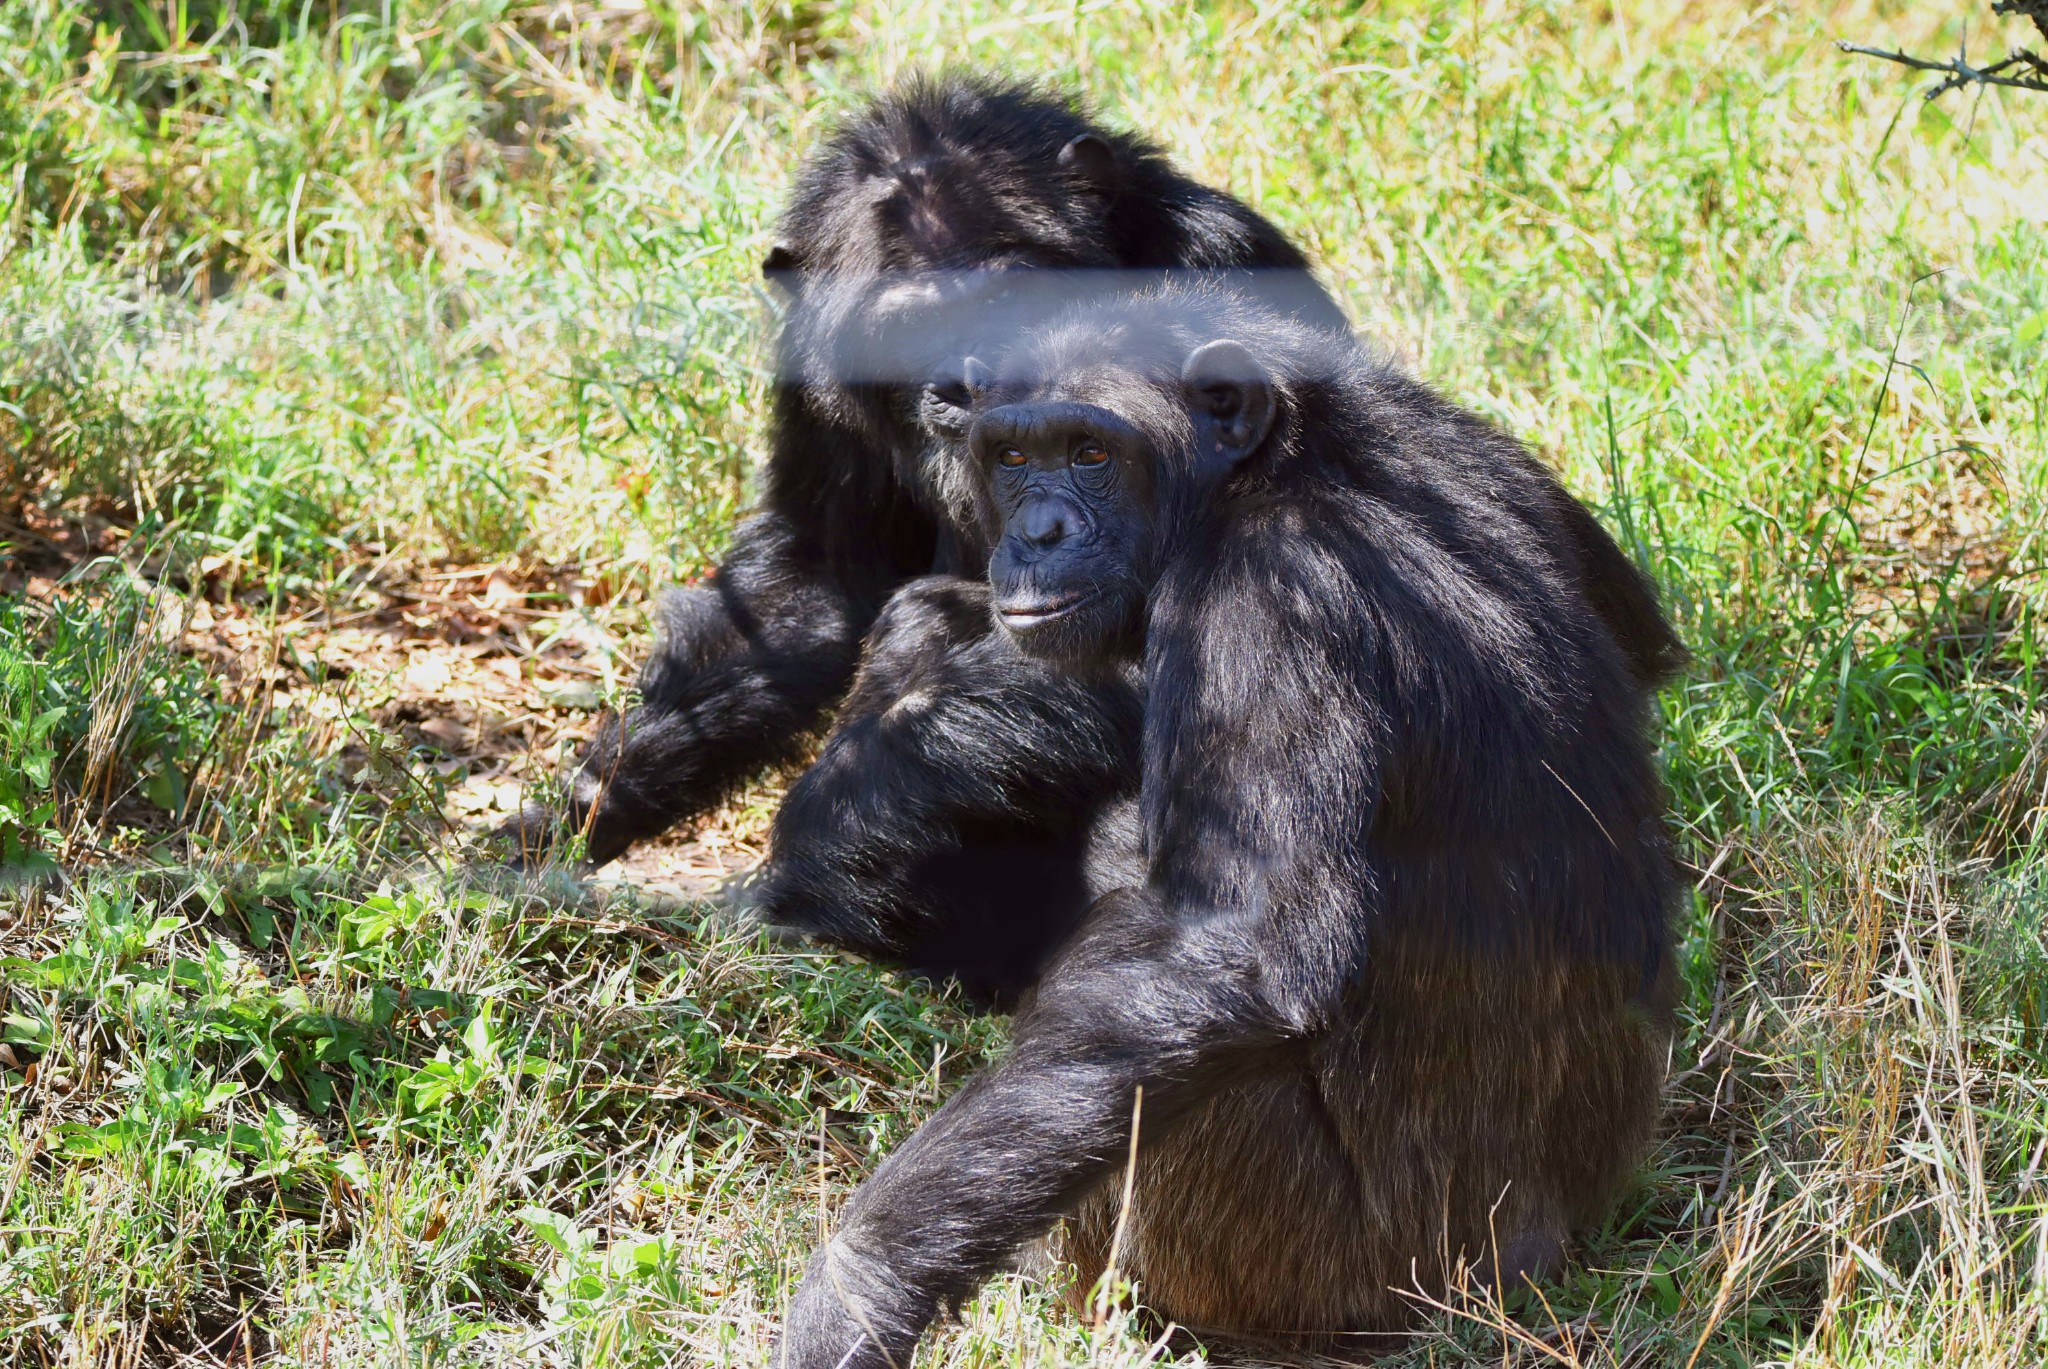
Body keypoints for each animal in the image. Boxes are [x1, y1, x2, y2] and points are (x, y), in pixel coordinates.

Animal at [770, 282, 1679, 1360]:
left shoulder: (1268, 615)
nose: (1037, 529)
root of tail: (1552, 1254)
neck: (1267, 475)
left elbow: (1219, 956)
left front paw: (855, 1286)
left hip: (1325, 1265)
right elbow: (1652, 648)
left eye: (1090, 451)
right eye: (1013, 456)